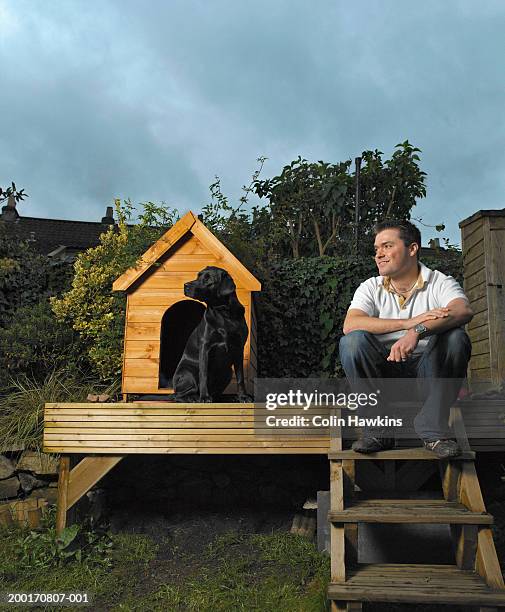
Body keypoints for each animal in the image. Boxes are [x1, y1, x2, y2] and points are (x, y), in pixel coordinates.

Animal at [172, 266, 251, 402]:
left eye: (208, 280)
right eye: (198, 276)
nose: (185, 285)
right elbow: (203, 375)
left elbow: (240, 377)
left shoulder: (239, 348)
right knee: (177, 395)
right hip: (188, 373)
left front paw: (243, 397)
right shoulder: (205, 347)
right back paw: (193, 398)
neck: (224, 312)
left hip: (227, 373)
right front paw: (204, 397)